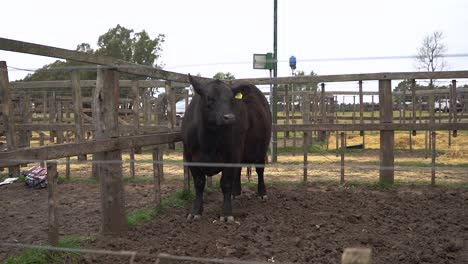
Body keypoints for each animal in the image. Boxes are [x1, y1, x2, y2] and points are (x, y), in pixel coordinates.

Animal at [181, 75, 272, 223]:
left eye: (231, 99)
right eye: (209, 98)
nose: (229, 117)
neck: (208, 140)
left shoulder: (232, 155)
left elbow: (226, 184)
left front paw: (226, 214)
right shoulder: (189, 157)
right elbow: (199, 184)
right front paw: (195, 212)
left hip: (261, 147)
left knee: (260, 170)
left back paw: (262, 193)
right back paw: (236, 193)